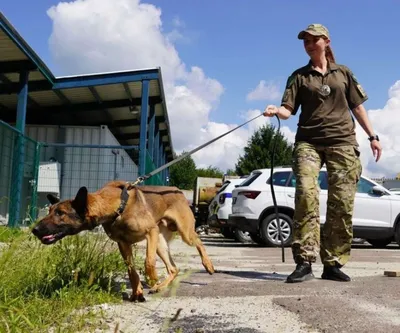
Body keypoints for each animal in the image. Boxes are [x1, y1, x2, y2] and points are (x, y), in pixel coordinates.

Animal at [31, 180, 216, 302]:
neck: (117, 209)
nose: (35, 230)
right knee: (174, 268)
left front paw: (151, 278)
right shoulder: (123, 244)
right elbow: (131, 271)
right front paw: (137, 292)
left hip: (183, 234)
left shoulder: (150, 231)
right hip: (160, 244)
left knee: (198, 241)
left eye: (60, 213)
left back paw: (208, 265)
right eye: (50, 211)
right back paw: (159, 287)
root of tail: (178, 190)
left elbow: (148, 262)